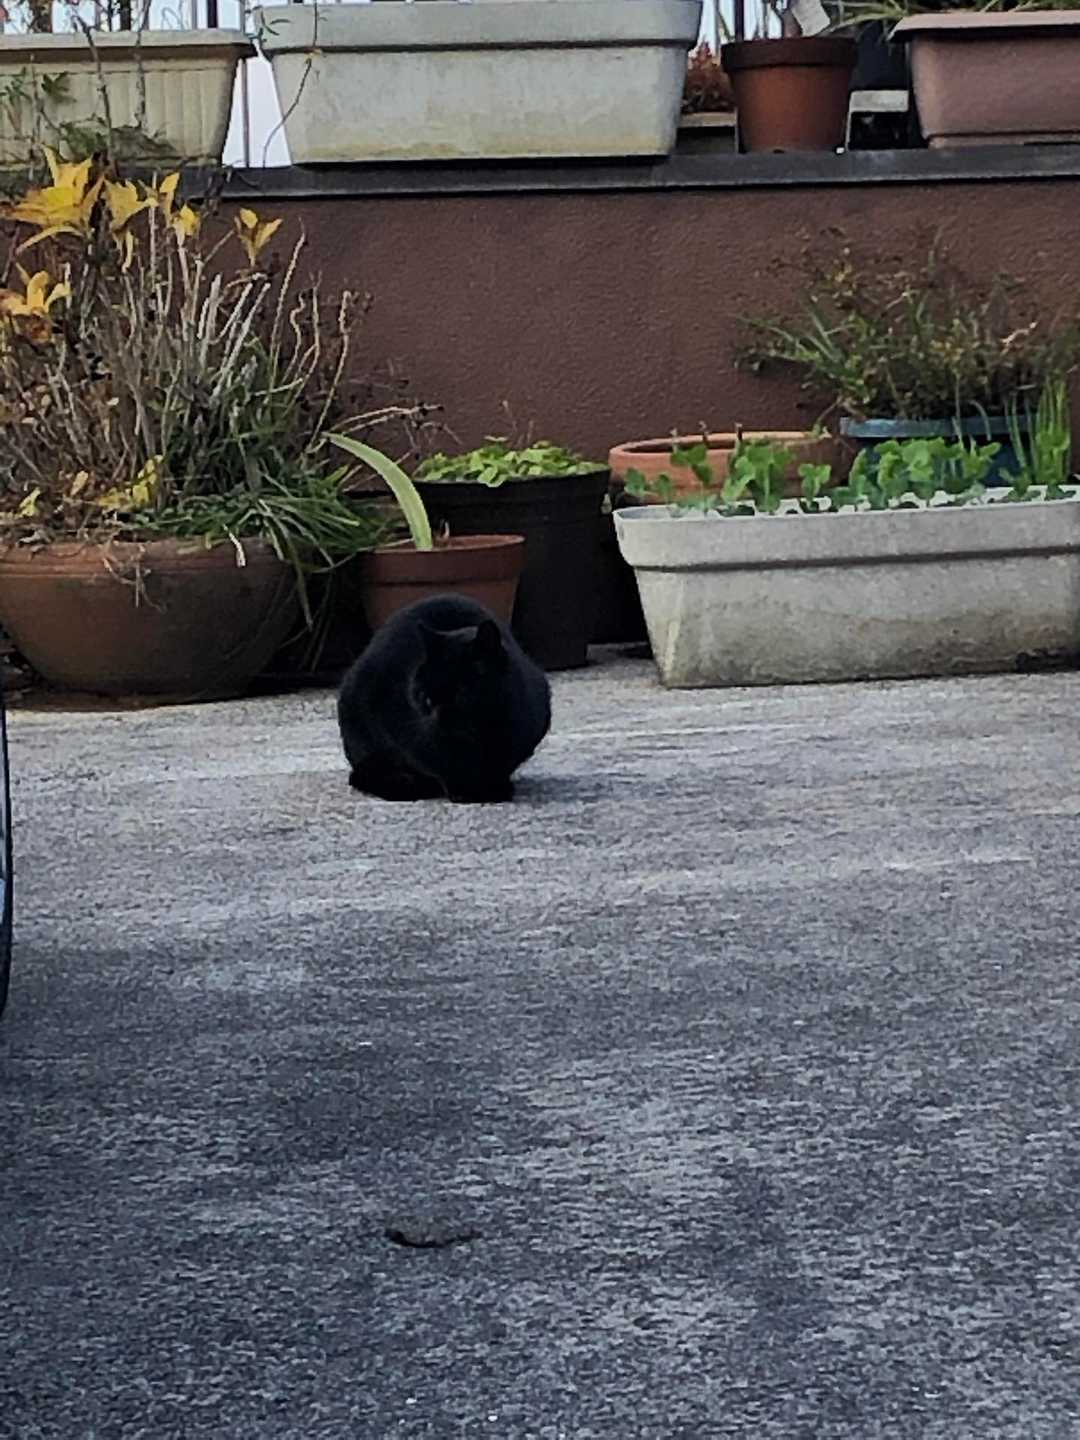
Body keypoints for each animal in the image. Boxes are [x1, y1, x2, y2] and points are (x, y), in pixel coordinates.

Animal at [338, 594, 552, 803]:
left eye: (461, 693)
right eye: (425, 696)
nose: (438, 714)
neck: (482, 735)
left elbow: (501, 766)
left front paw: (496, 787)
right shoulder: (407, 734)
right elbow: (441, 766)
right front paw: (464, 791)